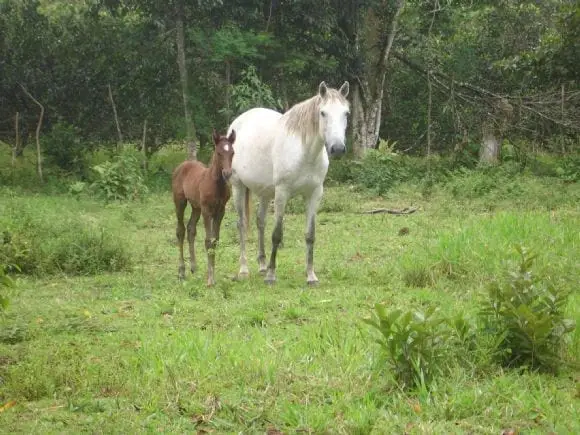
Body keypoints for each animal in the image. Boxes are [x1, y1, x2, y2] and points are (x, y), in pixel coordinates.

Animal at [172, 129, 236, 286]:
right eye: (219, 152)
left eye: (232, 152)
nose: (227, 173)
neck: (216, 185)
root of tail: (183, 165)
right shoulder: (207, 211)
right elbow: (208, 241)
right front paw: (210, 280)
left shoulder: (220, 211)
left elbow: (215, 240)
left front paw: (212, 276)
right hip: (180, 202)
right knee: (180, 230)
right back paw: (181, 271)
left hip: (196, 207)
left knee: (191, 229)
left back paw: (194, 267)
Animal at [227, 81, 348, 286]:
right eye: (323, 113)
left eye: (346, 113)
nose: (337, 148)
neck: (305, 153)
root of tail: (237, 122)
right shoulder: (282, 193)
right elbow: (277, 234)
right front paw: (271, 275)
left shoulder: (314, 194)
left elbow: (310, 235)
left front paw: (311, 276)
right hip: (238, 186)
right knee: (242, 224)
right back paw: (244, 270)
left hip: (265, 193)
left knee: (260, 222)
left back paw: (262, 265)